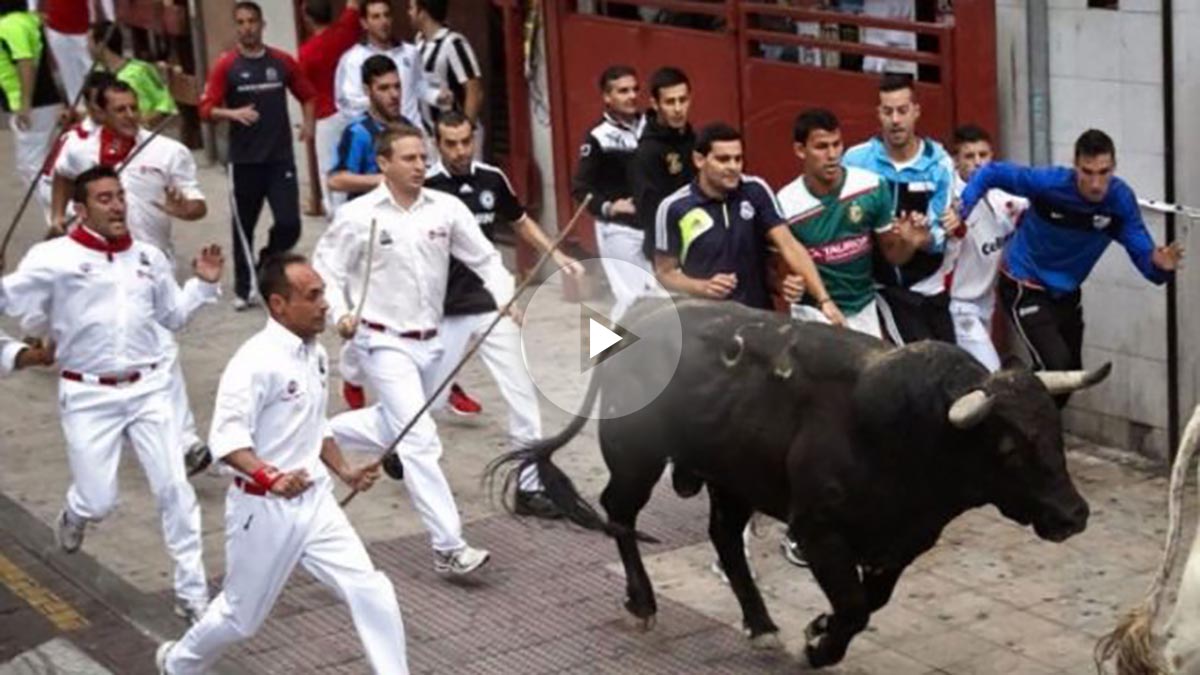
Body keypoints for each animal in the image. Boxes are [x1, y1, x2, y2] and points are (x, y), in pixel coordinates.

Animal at [484, 296, 1104, 662]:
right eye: (1008, 446)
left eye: (1055, 430)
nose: (1074, 515)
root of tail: (639, 319)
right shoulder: (818, 530)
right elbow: (854, 605)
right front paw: (821, 644)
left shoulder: (904, 541)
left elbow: (870, 600)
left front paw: (817, 627)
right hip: (636, 455)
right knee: (619, 512)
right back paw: (642, 603)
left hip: (732, 477)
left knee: (724, 538)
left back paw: (760, 623)